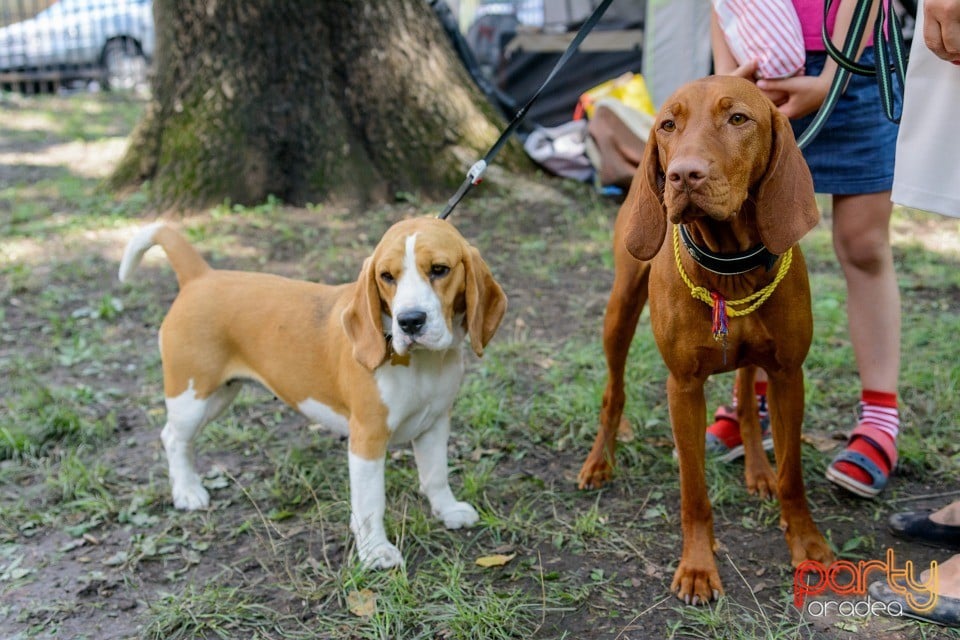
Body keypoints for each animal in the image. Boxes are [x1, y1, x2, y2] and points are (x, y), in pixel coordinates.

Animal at [118, 218, 510, 568]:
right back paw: (186, 490)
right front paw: (375, 552)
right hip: (192, 397)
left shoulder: (435, 423)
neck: (422, 364)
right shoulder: (367, 438)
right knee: (173, 438)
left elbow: (435, 475)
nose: (410, 321)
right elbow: (371, 502)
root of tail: (201, 276)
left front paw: (447, 511)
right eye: (387, 277)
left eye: (440, 270)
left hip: (221, 395)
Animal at [576, 76, 832, 604]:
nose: (682, 176)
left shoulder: (788, 375)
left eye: (738, 119)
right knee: (614, 392)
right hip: (620, 309)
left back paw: (758, 469)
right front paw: (697, 567)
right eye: (668, 125)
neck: (730, 269)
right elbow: (693, 490)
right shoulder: (684, 387)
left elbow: (793, 473)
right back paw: (598, 462)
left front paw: (806, 541)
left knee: (746, 399)